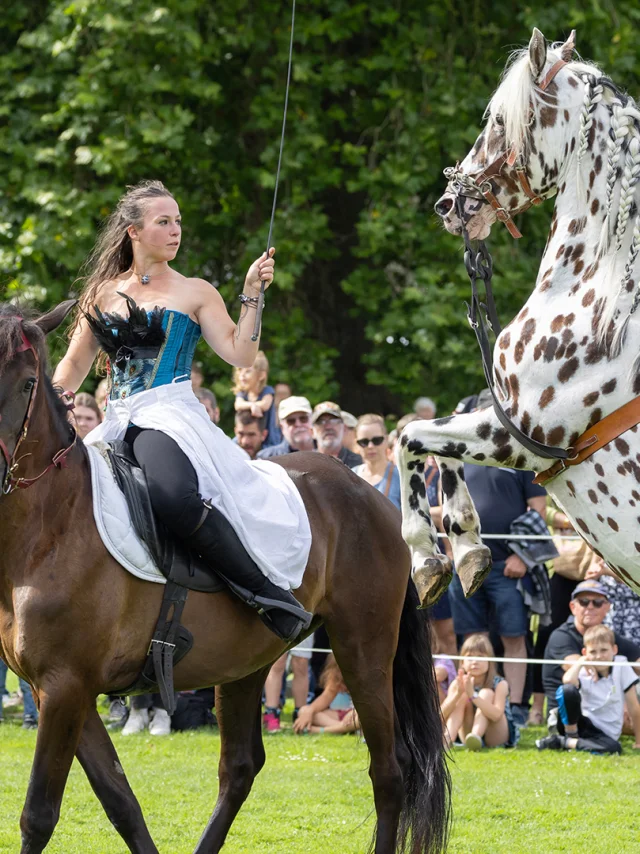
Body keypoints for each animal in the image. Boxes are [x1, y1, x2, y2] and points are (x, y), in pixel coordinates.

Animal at [0, 304, 450, 854]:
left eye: (27, 382)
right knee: (239, 768)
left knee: (389, 771)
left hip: (363, 649)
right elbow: (121, 802)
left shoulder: (65, 686)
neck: (51, 528)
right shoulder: (63, 691)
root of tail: (371, 496)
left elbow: (39, 815)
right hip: (246, 663)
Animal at [400, 28, 640, 608]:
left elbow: (410, 436)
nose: (448, 205)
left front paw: (431, 556)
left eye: (496, 120)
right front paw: (466, 548)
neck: (604, 299)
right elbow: (429, 442)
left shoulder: (522, 437)